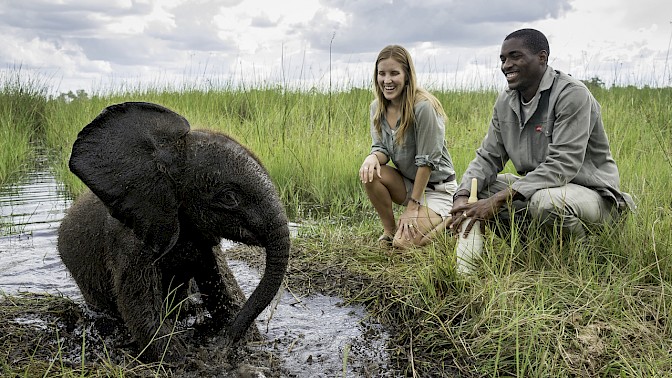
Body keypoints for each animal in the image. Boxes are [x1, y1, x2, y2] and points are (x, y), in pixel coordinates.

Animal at [57, 102, 288, 362]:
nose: (223, 343)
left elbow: (225, 291)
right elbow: (143, 311)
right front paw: (189, 361)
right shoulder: (128, 240)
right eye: (229, 198)